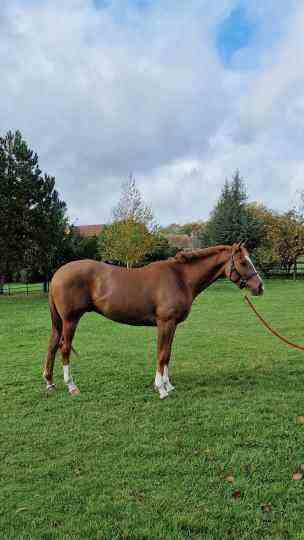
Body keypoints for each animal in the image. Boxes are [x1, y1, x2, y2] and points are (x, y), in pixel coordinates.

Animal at [42, 243, 264, 398]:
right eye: (243, 262)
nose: (260, 287)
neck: (180, 278)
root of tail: (58, 274)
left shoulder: (172, 325)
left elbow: (168, 354)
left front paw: (169, 385)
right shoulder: (165, 323)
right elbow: (162, 353)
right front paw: (161, 389)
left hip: (60, 322)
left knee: (52, 345)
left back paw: (50, 383)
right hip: (71, 320)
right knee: (64, 347)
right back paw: (72, 386)